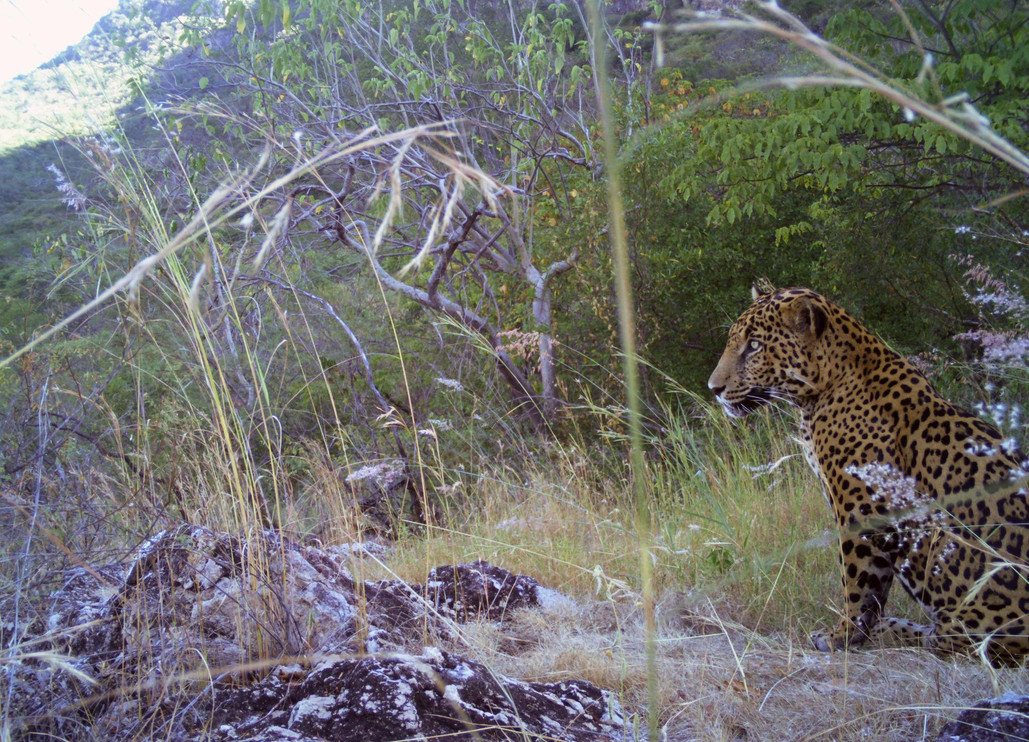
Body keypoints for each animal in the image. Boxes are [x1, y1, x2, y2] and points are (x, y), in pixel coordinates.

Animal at [707, 284, 1029, 664]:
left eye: (755, 345)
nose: (714, 389)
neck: (820, 393)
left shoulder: (860, 508)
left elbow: (858, 583)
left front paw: (841, 636)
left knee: (945, 640)